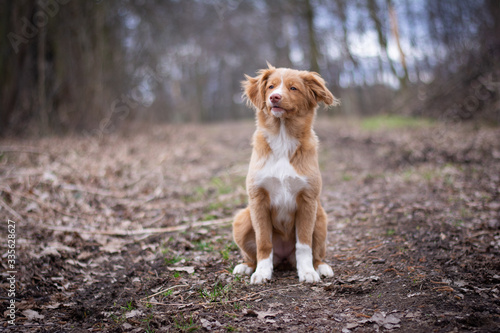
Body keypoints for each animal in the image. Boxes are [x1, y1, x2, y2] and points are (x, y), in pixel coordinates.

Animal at [232, 63, 338, 282]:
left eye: (293, 88)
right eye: (271, 87)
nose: (274, 97)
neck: (282, 137)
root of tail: (282, 259)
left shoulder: (307, 200)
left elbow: (304, 244)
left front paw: (307, 272)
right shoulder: (258, 200)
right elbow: (263, 242)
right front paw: (262, 273)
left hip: (321, 218)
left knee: (317, 253)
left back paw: (321, 267)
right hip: (242, 219)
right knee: (252, 254)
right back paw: (247, 266)